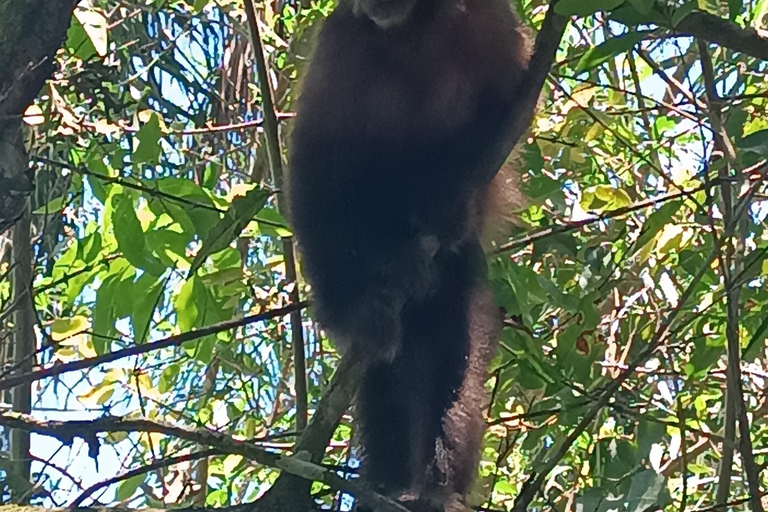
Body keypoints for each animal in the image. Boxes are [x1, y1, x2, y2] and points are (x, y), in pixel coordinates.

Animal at [288, 0, 528, 506]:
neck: (414, 29)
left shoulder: (490, 20)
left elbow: (511, 107)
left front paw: (450, 195)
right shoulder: (342, 38)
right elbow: (318, 161)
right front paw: (351, 309)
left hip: (457, 274)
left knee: (450, 356)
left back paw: (438, 492)